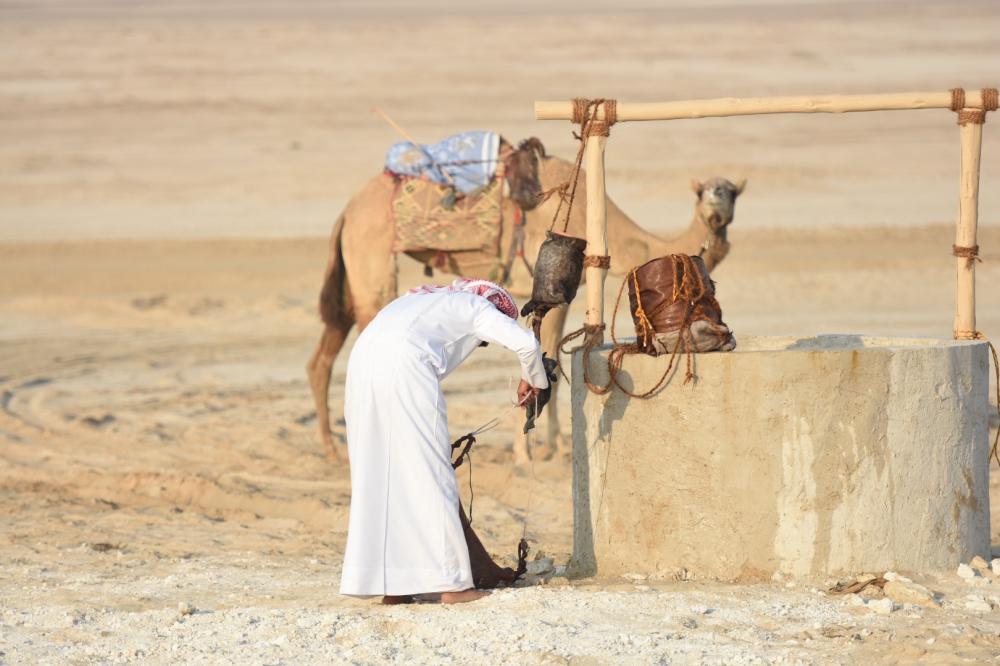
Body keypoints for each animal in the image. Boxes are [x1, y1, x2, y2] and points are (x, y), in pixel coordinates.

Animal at [308, 150, 748, 462]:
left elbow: (551, 351)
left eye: (732, 192)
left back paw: (332, 450)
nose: (715, 207)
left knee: (322, 356)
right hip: (371, 259)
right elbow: (543, 350)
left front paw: (554, 445)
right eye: (703, 191)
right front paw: (533, 452)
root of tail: (347, 211)